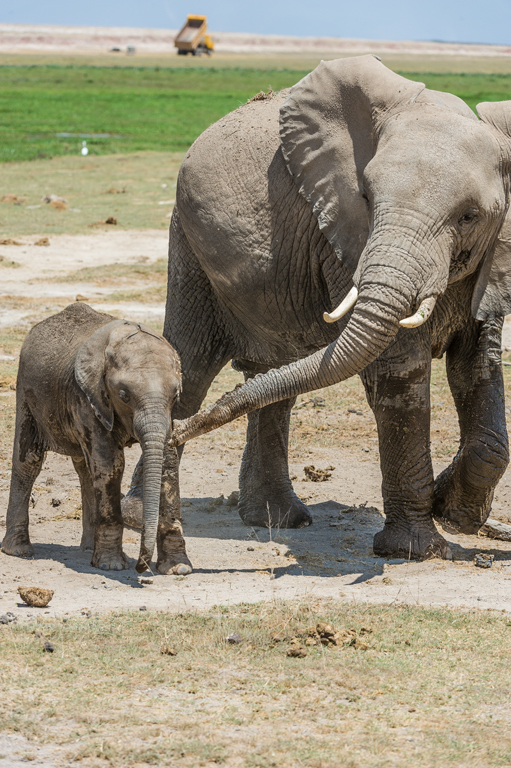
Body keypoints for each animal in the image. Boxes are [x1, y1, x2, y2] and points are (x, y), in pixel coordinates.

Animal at [0, 304, 192, 572]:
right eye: (123, 395)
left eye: (176, 395)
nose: (141, 566)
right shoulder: (86, 397)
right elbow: (111, 464)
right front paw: (111, 566)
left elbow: (167, 464)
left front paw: (178, 569)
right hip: (27, 393)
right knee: (29, 462)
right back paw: (19, 550)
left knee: (86, 469)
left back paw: (89, 548)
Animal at [126, 54, 511, 560]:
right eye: (367, 198)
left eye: (469, 217)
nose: (186, 430)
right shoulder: (343, 238)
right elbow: (401, 374)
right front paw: (413, 550)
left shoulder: (493, 254)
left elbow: (478, 365)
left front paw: (455, 513)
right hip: (189, 245)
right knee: (191, 367)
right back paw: (140, 516)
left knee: (274, 380)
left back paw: (275, 518)